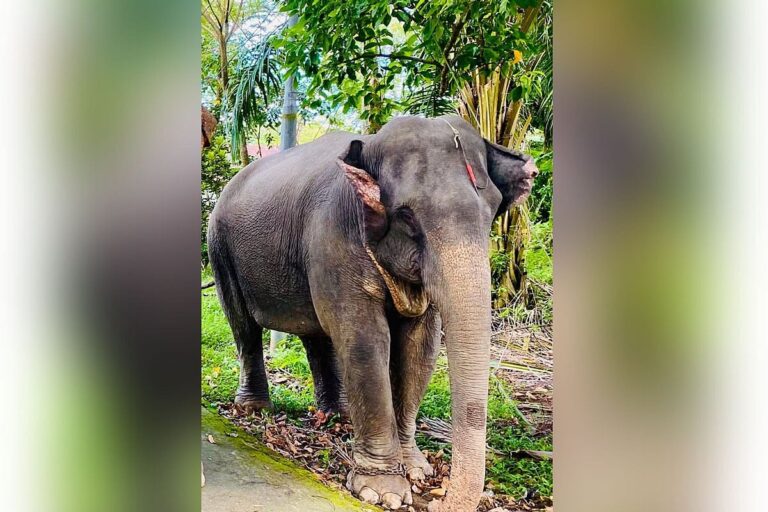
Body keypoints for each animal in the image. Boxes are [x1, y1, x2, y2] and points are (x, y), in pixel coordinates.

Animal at [207, 115, 538, 511]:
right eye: (407, 216)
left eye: (491, 213)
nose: (435, 501)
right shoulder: (334, 237)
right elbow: (365, 339)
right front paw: (384, 492)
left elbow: (420, 348)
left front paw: (416, 471)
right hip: (219, 247)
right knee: (243, 325)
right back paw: (255, 409)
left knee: (316, 335)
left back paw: (338, 416)